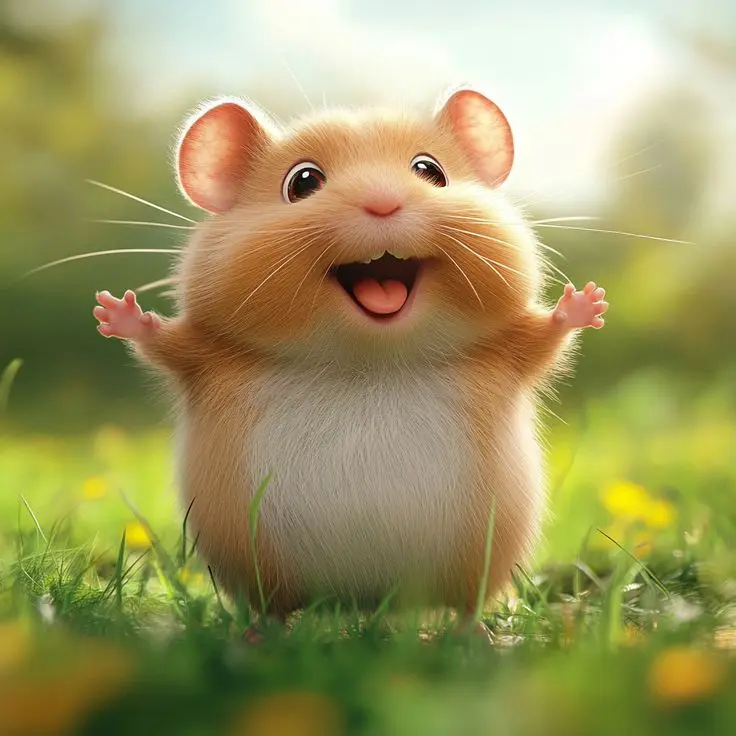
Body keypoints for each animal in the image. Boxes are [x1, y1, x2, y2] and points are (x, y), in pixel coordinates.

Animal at [93, 87, 608, 635]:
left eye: (431, 170)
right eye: (302, 182)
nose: (383, 203)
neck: (368, 359)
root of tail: (363, 602)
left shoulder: (510, 352)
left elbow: (547, 336)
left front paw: (588, 300)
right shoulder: (203, 357)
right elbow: (163, 343)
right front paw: (113, 309)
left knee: (467, 605)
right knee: (274, 607)